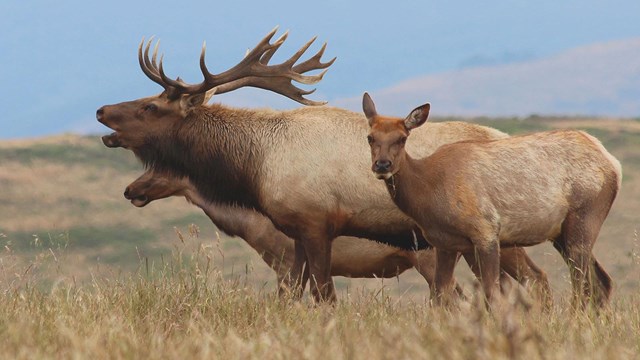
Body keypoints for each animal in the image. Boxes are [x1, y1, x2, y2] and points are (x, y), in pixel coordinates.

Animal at [364, 91, 620, 308]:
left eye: (402, 138)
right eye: (370, 137)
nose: (382, 165)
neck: (428, 193)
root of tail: (613, 163)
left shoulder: (486, 231)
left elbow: (491, 294)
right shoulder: (445, 244)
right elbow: (439, 296)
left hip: (585, 217)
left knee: (581, 283)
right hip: (560, 233)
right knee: (601, 280)